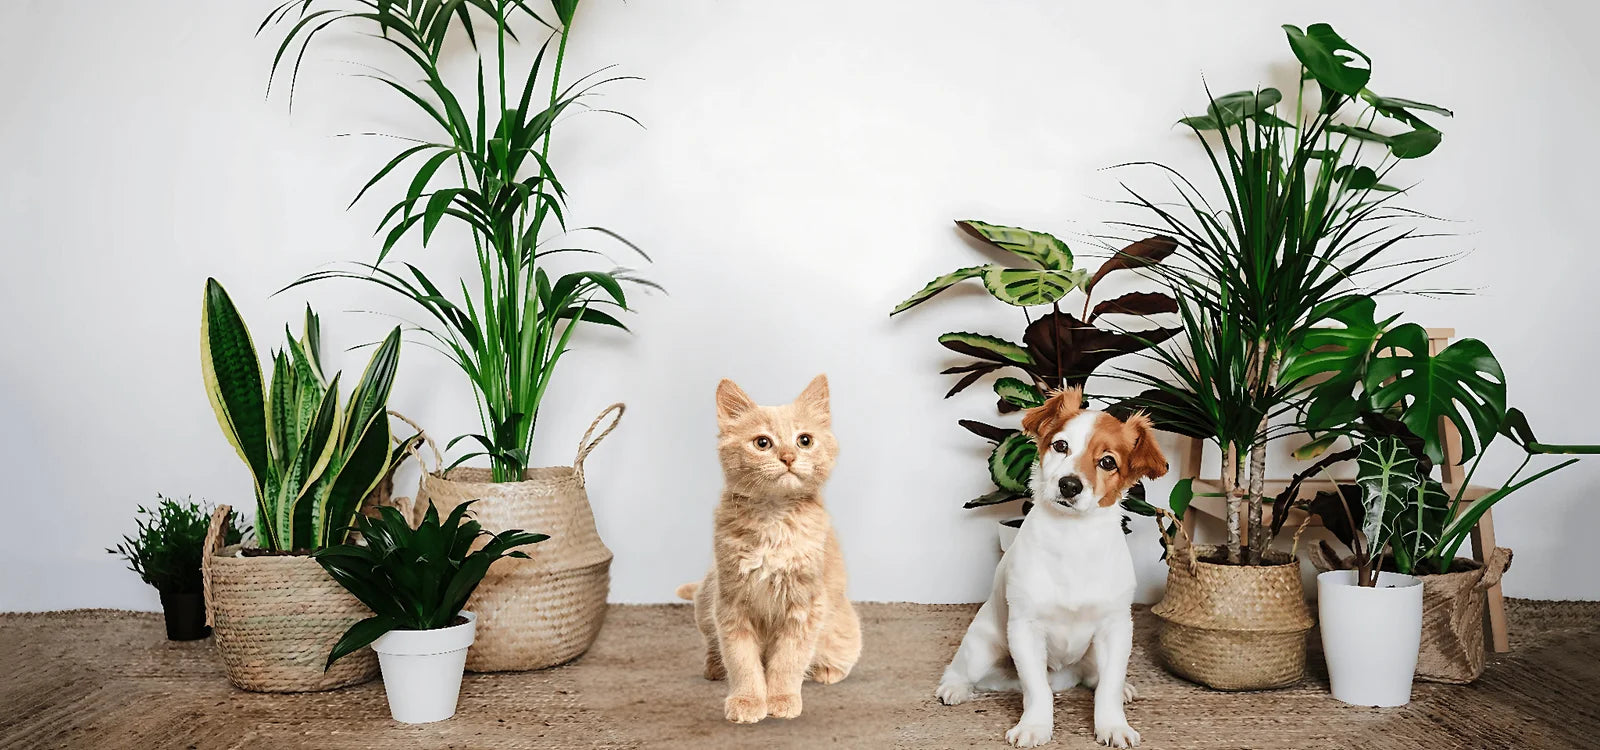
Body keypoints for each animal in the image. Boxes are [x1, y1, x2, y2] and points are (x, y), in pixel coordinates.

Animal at [675, 377, 864, 722]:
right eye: (762, 443)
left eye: (805, 440)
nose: (788, 457)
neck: (773, 519)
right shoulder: (730, 603)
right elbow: (741, 660)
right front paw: (748, 700)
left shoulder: (805, 606)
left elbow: (789, 660)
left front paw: (781, 699)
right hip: (707, 596)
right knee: (711, 643)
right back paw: (714, 668)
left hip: (843, 627)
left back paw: (825, 671)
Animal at [934, 388, 1164, 745]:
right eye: (1061, 445)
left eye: (1107, 461)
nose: (1069, 485)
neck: (1072, 540)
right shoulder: (1025, 629)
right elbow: (1036, 689)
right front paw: (1035, 726)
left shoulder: (1116, 628)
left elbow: (1108, 687)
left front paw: (1113, 725)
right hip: (981, 650)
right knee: (961, 670)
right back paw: (954, 688)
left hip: (1094, 653)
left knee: (1095, 678)